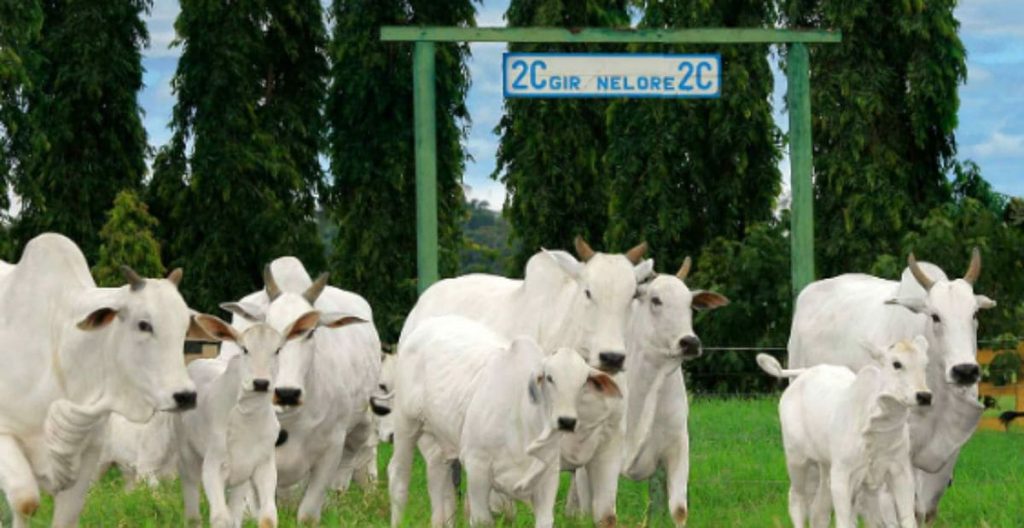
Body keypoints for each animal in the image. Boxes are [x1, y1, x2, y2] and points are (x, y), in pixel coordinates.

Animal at [0, 235, 197, 528]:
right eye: (143, 324)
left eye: (185, 327)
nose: (185, 396)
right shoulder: (5, 436)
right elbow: (25, 502)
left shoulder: (88, 454)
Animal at [220, 259, 380, 523]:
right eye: (267, 329)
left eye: (311, 331)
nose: (287, 393)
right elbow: (261, 512)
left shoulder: (331, 448)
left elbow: (308, 513)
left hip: (363, 427)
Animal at [761, 337, 937, 528]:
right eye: (896, 364)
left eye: (925, 364)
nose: (924, 396)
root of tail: (804, 373)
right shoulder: (842, 475)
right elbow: (845, 521)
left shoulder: (900, 471)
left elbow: (906, 519)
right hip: (797, 459)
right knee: (797, 499)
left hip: (825, 466)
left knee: (819, 512)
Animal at [786, 250, 995, 519]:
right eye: (935, 316)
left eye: (974, 314)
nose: (965, 371)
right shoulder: (897, 453)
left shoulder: (946, 456)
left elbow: (924, 509)